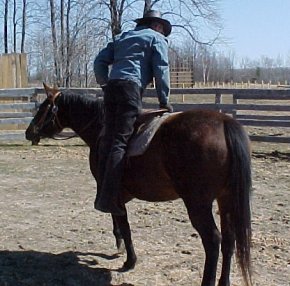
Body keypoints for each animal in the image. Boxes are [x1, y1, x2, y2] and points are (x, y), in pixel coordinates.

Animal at [25, 84, 251, 284]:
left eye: (43, 108)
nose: (29, 132)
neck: (102, 129)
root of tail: (224, 123)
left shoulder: (110, 189)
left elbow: (123, 225)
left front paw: (129, 260)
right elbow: (117, 219)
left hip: (198, 204)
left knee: (213, 241)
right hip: (226, 199)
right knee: (229, 240)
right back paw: (224, 281)